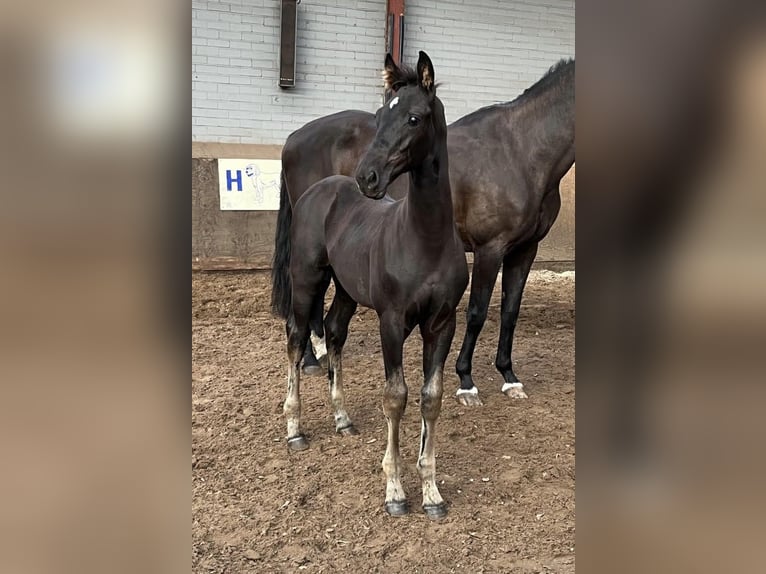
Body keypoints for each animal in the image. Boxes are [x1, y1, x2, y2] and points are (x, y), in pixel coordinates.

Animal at [272, 60, 576, 408]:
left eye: (414, 119)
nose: (367, 176)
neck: (520, 150)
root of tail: (294, 137)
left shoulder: (525, 250)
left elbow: (510, 312)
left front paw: (509, 376)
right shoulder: (490, 249)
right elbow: (477, 313)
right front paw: (466, 381)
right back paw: (310, 359)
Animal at [276, 53, 468, 520]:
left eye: (414, 117)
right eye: (380, 116)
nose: (369, 177)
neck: (424, 239)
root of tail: (318, 190)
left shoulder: (442, 324)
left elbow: (430, 397)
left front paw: (432, 493)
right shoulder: (392, 321)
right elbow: (395, 396)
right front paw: (395, 491)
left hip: (346, 290)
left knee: (333, 331)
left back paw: (342, 418)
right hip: (307, 279)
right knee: (295, 337)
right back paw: (295, 428)